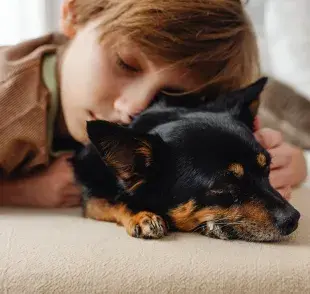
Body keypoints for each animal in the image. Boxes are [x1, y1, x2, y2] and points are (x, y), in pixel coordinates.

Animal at [71, 77, 300, 241]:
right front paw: (142, 215)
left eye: (267, 169)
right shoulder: (91, 194)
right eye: (224, 187)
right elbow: (114, 200)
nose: (294, 219)